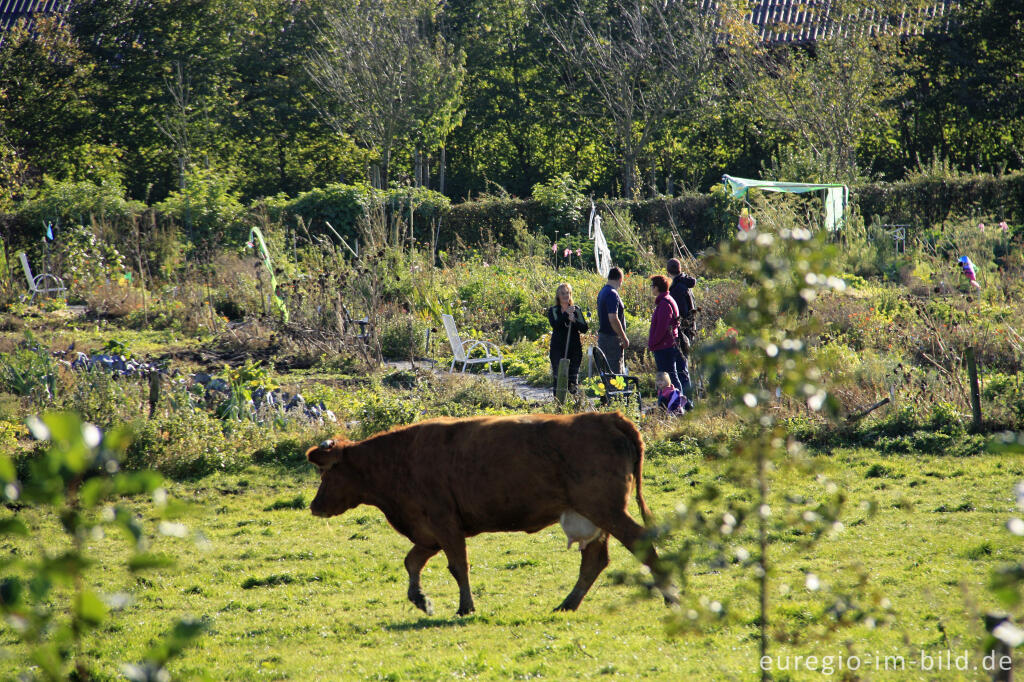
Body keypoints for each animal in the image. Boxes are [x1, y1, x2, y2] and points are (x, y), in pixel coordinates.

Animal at [305, 411, 679, 614]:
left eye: (327, 472)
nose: (314, 505)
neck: (397, 460)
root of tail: (606, 418)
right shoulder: (429, 531)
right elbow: (412, 562)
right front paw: (421, 599)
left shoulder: (443, 523)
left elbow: (458, 566)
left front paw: (465, 607)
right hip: (593, 516)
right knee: (595, 561)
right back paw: (567, 604)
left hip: (608, 510)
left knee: (640, 544)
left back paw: (671, 596)